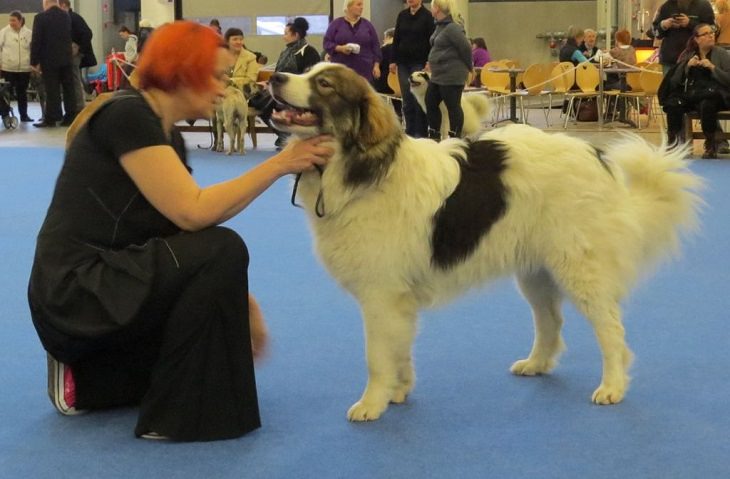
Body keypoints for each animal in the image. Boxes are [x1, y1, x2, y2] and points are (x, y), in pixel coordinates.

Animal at [268, 62, 700, 422]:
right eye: (307, 71)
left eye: (324, 84)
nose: (275, 77)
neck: (362, 168)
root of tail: (595, 156)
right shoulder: (396, 299)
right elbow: (399, 350)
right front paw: (398, 391)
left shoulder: (381, 294)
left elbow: (377, 356)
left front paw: (372, 403)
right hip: (537, 271)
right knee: (550, 320)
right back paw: (537, 363)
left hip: (580, 267)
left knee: (610, 329)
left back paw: (612, 386)